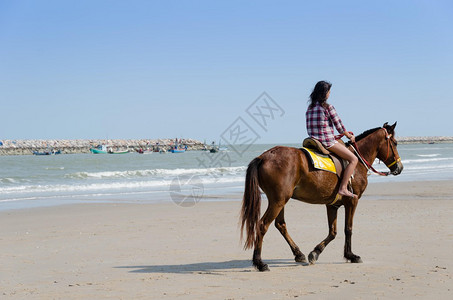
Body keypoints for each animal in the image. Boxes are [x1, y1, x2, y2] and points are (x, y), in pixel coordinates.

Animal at [240, 122, 402, 272]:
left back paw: (298, 253)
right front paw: (351, 255)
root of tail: (263, 157)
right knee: (262, 225)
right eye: (395, 143)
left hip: (279, 201)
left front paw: (315, 252)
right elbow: (348, 229)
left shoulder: (332, 205)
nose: (399, 168)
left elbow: (333, 232)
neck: (356, 161)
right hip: (278, 201)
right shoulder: (352, 201)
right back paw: (260, 262)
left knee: (280, 224)